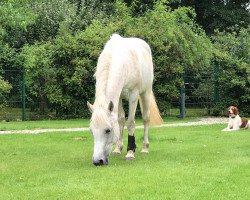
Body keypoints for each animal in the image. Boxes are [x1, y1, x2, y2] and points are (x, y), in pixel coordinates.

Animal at [87, 34, 163, 166]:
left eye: (108, 130)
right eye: (92, 131)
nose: (98, 161)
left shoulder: (133, 95)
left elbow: (131, 123)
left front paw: (130, 153)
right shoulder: (118, 98)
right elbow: (120, 120)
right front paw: (118, 149)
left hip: (145, 93)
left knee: (145, 119)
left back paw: (145, 148)